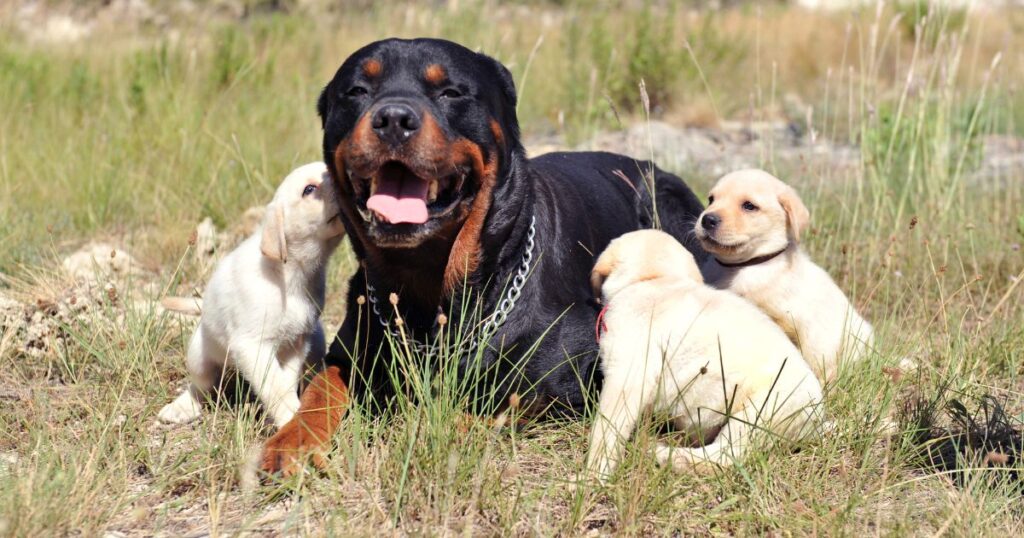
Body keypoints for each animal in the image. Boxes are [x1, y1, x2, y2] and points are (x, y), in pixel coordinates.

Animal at [157, 160, 346, 428]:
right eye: (309, 189)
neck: (290, 274)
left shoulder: (296, 343)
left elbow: (284, 381)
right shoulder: (252, 345)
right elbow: (274, 386)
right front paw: (290, 416)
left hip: (317, 341)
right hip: (199, 355)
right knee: (201, 385)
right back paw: (183, 407)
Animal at [260, 37, 708, 473]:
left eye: (451, 92)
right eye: (356, 91)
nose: (393, 119)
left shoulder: (574, 375)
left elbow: (481, 410)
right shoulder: (352, 345)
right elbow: (321, 387)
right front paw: (291, 441)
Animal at [589, 229, 819, 477]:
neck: (656, 280)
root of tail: (818, 418)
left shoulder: (625, 377)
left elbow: (606, 431)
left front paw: (591, 475)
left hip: (757, 415)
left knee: (725, 456)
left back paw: (665, 455)